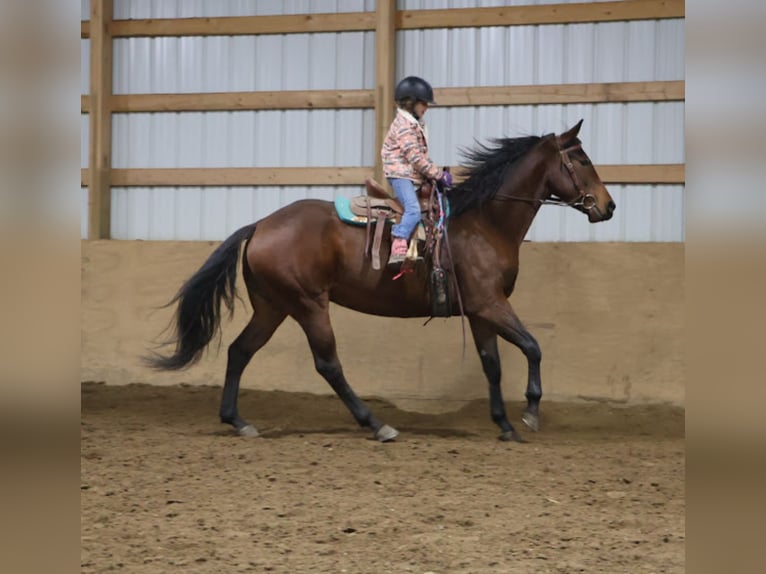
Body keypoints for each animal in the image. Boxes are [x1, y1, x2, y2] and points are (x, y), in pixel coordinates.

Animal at [147, 119, 615, 442]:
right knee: (328, 365)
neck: (485, 223)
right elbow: (533, 347)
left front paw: (504, 424)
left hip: (273, 306)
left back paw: (239, 421)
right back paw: (376, 424)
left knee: (240, 351)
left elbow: (493, 365)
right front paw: (530, 412)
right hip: (308, 304)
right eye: (581, 160)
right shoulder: (491, 304)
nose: (608, 206)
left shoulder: (482, 311)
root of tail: (260, 225)